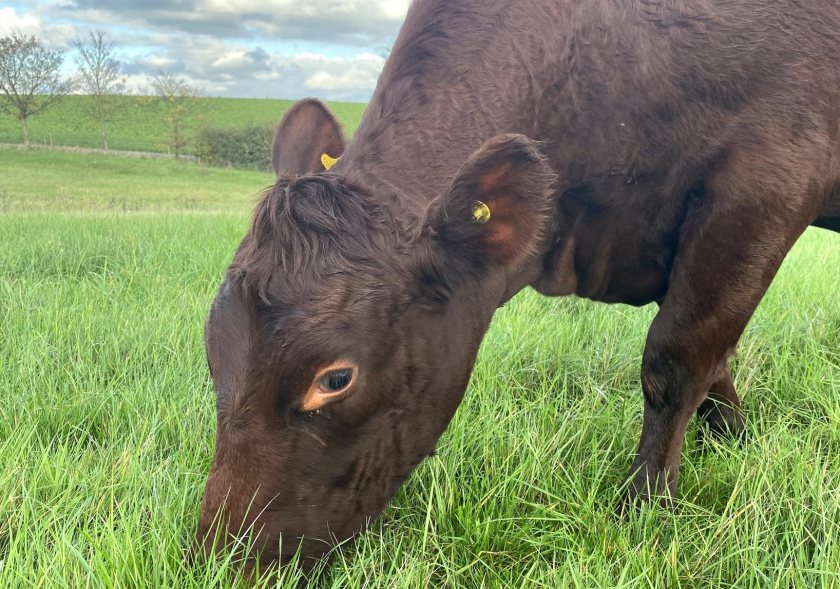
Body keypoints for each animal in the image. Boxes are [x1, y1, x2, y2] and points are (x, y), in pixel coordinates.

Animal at [199, 1, 840, 568]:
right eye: (212, 349)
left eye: (335, 379)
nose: (223, 559)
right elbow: (714, 359)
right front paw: (734, 436)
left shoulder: (764, 185)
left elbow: (677, 360)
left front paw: (647, 504)